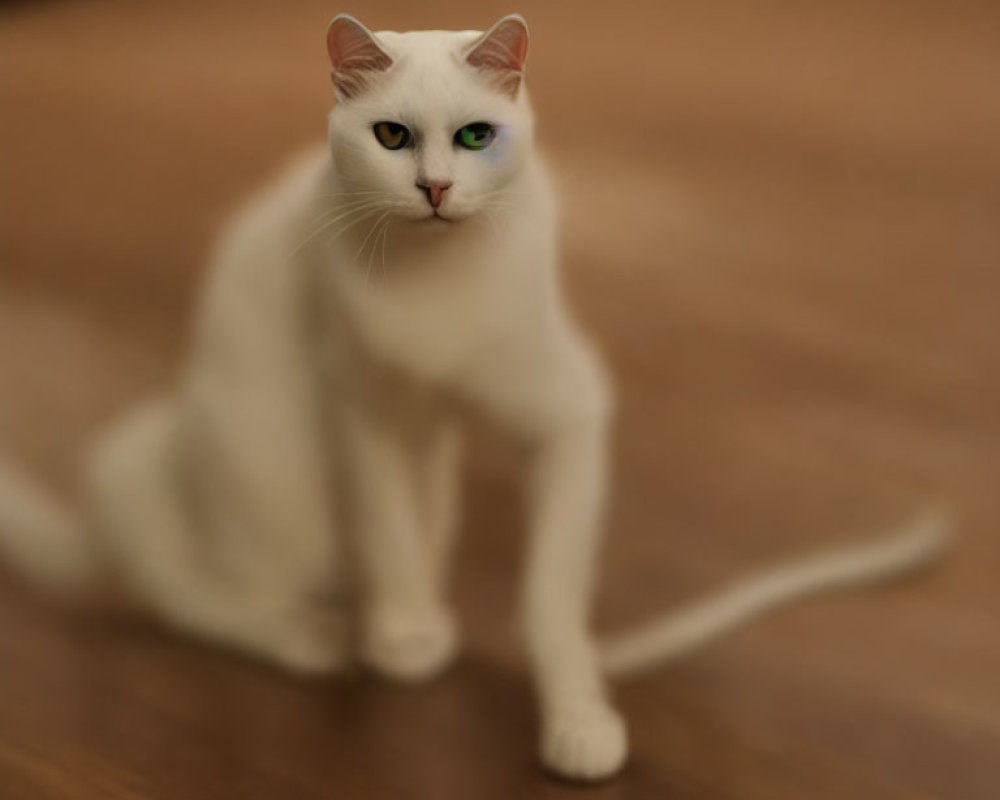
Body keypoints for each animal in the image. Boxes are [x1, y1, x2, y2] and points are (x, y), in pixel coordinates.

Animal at [0, 14, 952, 780]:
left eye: (473, 137)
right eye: (391, 135)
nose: (434, 188)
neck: (436, 283)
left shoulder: (566, 418)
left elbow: (549, 599)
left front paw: (577, 722)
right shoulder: (367, 409)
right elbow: (388, 531)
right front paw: (406, 638)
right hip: (181, 468)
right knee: (190, 591)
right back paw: (317, 638)